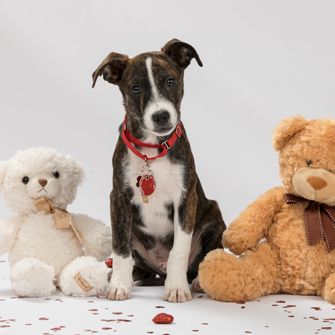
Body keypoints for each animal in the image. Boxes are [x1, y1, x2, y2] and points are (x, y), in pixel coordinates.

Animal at [92, 39, 226, 304]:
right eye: (135, 88)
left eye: (171, 81)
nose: (161, 116)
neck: (152, 151)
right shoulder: (118, 198)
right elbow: (120, 247)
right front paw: (118, 285)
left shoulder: (186, 198)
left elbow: (179, 250)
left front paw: (177, 288)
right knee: (138, 265)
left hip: (214, 218)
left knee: (204, 257)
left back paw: (197, 280)